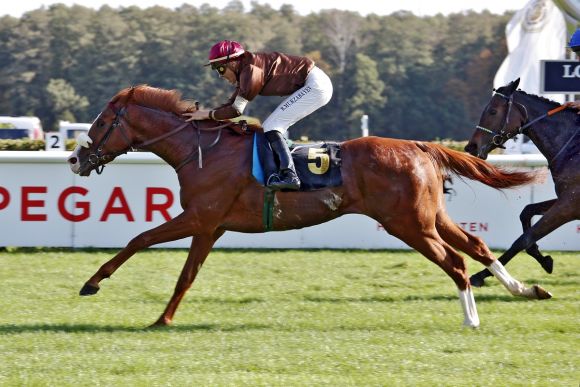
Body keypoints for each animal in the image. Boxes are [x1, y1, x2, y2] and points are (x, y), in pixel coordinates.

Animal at [68, 85, 548, 330]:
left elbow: (140, 238)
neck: (201, 150)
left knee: (456, 262)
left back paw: (472, 319)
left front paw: (93, 284)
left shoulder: (200, 217)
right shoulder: (211, 226)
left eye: (100, 123)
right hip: (430, 217)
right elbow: (185, 275)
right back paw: (526, 290)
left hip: (408, 224)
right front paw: (163, 317)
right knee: (477, 247)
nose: (75, 158)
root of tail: (419, 146)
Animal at [466, 79, 580, 286]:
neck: (573, 149)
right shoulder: (565, 199)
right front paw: (542, 257)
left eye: (492, 111)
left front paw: (481, 274)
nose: (471, 146)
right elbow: (526, 211)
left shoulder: (569, 205)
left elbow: (524, 239)